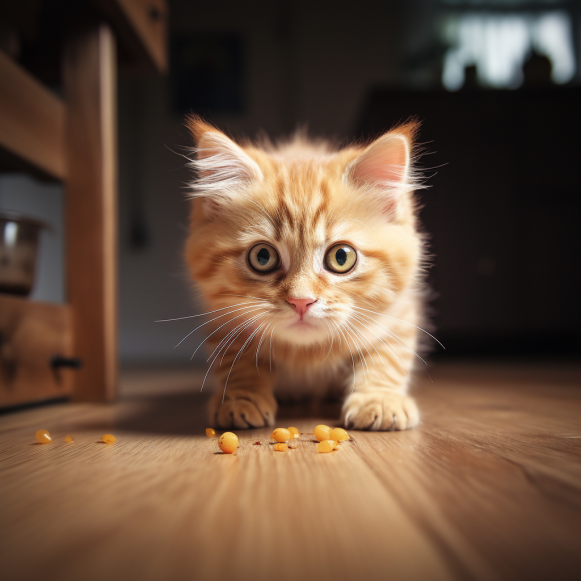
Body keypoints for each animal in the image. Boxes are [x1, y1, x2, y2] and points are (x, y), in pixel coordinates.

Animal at [184, 115, 428, 428]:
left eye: (341, 257)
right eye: (262, 257)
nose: (301, 302)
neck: (306, 355)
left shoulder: (400, 314)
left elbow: (387, 356)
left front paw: (380, 398)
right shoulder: (223, 318)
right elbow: (237, 363)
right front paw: (240, 399)